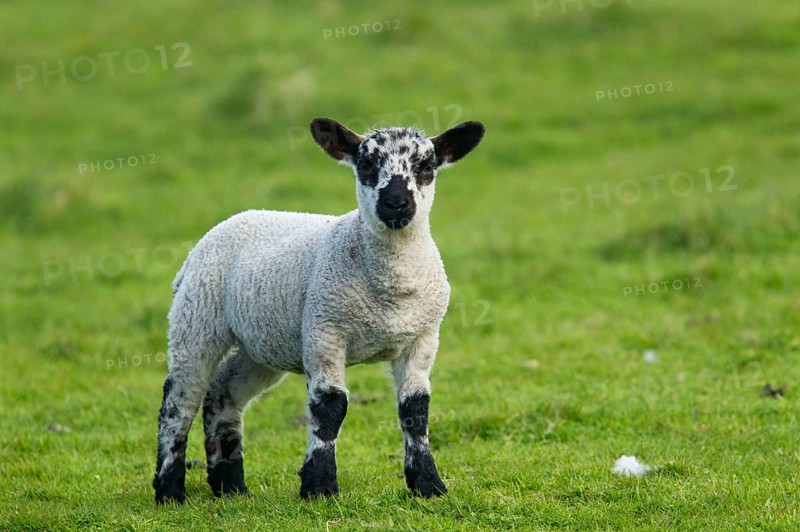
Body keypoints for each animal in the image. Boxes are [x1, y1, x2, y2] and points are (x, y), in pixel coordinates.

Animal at [153, 117, 485, 503]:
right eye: (366, 165)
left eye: (426, 167)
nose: (396, 203)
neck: (390, 290)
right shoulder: (325, 330)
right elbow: (330, 406)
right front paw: (320, 486)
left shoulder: (423, 337)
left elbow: (415, 409)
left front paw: (428, 485)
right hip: (197, 316)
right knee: (180, 398)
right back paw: (170, 489)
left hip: (262, 345)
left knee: (222, 394)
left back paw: (230, 486)